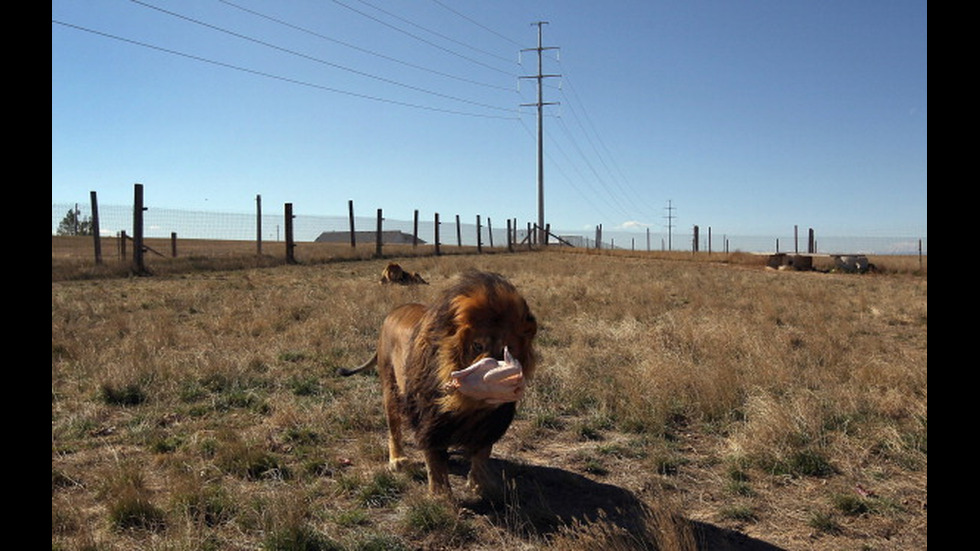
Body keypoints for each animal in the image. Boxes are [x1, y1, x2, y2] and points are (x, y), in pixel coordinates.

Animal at [336, 270, 536, 498]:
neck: (469, 403)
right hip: (390, 388)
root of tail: (393, 311)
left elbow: (482, 454)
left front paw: (479, 486)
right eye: (477, 345)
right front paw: (441, 496)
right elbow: (435, 458)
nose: (493, 374)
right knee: (393, 428)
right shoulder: (430, 418)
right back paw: (397, 460)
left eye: (507, 349)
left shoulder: (490, 423)